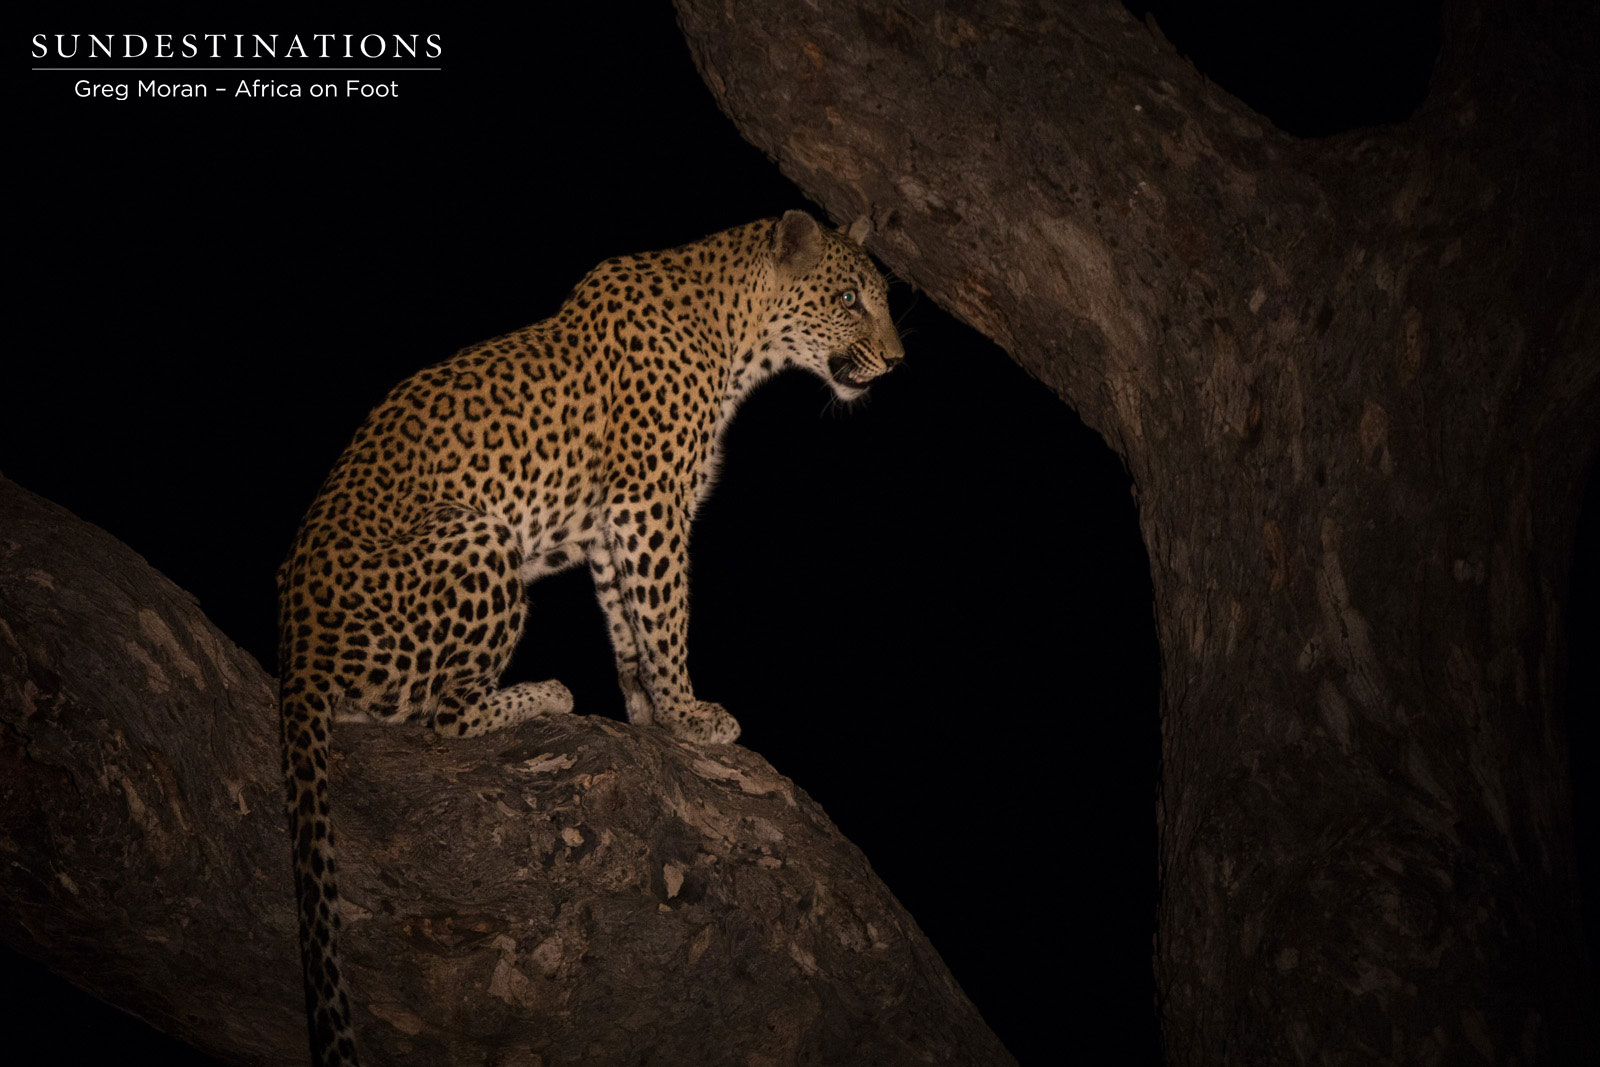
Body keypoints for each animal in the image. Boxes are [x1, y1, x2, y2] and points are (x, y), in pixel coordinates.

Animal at [275, 210, 904, 1066]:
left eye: (879, 298)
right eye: (848, 299)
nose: (899, 360)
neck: (736, 333)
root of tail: (296, 640)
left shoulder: (614, 526)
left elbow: (630, 628)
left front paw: (648, 716)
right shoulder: (649, 504)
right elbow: (666, 618)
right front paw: (692, 715)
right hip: (482, 537)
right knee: (439, 714)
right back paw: (543, 693)